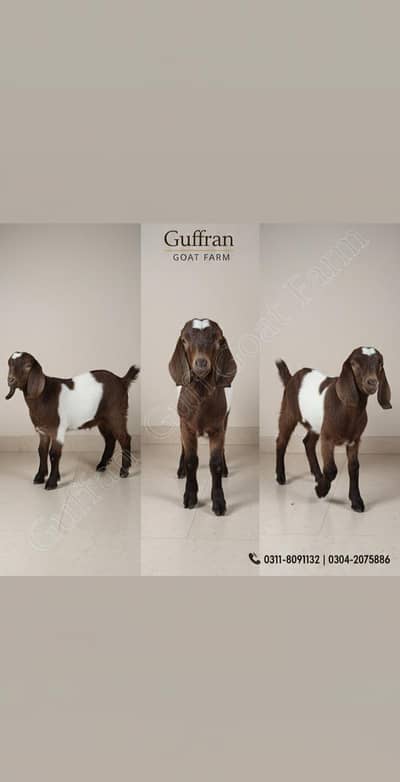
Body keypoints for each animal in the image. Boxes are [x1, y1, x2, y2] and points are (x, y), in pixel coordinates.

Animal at [6, 352, 139, 490]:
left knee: (125, 438)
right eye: (9, 364)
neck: (43, 395)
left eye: (27, 366)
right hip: (102, 420)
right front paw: (40, 477)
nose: (10, 380)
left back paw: (124, 471)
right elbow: (41, 451)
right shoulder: (42, 431)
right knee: (110, 439)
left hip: (116, 415)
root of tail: (121, 380)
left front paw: (52, 483)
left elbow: (54, 454)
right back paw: (101, 466)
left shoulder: (57, 429)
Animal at [169, 319, 237, 516]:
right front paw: (190, 497)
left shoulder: (218, 427)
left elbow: (215, 463)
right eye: (184, 340)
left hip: (226, 418)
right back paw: (181, 470)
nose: (201, 363)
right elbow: (192, 461)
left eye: (218, 340)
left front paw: (219, 502)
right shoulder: (186, 426)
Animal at [275, 347, 392, 512]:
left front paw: (356, 501)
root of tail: (292, 378)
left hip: (316, 425)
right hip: (288, 412)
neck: (347, 409)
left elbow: (354, 467)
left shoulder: (354, 440)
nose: (372, 382)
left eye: (380, 364)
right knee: (281, 441)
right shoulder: (328, 438)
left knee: (308, 442)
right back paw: (281, 477)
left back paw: (318, 476)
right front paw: (320, 491)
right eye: (355, 364)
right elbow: (331, 470)